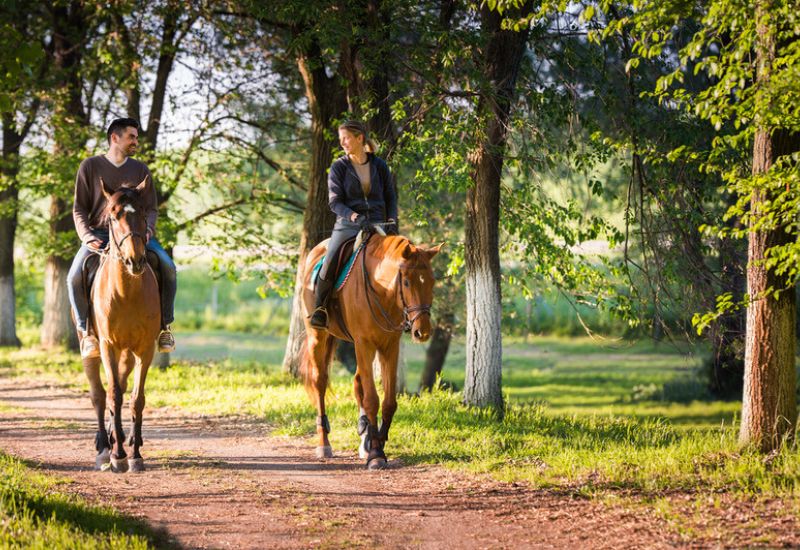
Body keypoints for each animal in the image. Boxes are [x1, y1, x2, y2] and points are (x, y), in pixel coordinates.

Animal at [81, 178, 162, 474]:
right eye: (113, 217)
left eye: (142, 214)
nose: (135, 261)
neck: (126, 292)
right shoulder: (108, 347)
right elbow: (112, 394)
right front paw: (118, 456)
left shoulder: (145, 349)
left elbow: (136, 398)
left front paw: (136, 454)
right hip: (92, 348)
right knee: (99, 394)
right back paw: (104, 447)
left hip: (127, 354)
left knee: (124, 386)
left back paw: (120, 437)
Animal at [300, 232, 440, 470]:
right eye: (406, 282)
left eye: (431, 281)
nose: (422, 332)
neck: (381, 290)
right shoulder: (364, 343)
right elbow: (372, 399)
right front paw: (375, 453)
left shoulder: (389, 346)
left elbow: (388, 402)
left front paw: (377, 442)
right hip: (318, 337)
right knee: (320, 383)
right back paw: (324, 444)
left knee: (358, 383)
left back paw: (364, 436)